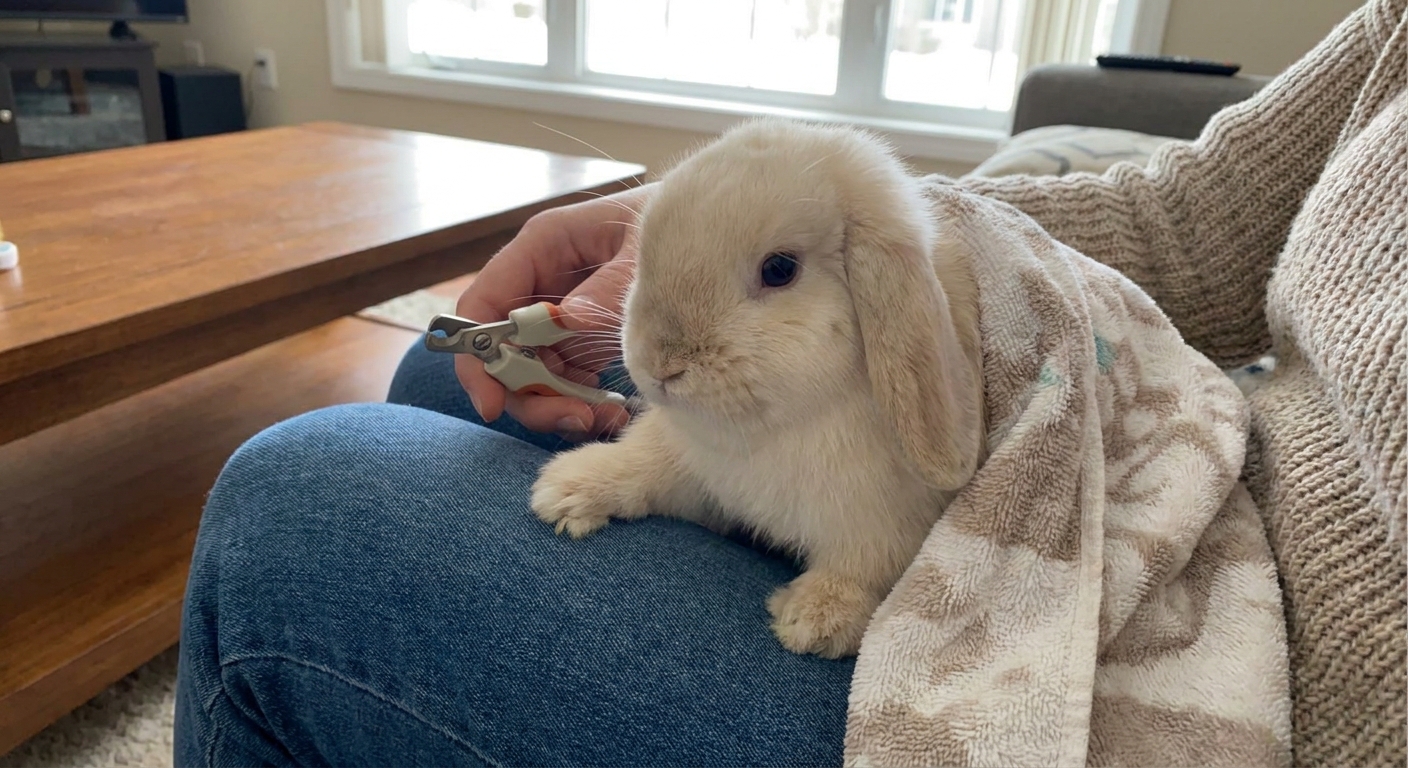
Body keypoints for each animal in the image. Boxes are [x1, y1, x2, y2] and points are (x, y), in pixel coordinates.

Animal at [530, 117, 986, 659]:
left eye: (779, 269)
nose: (661, 365)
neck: (767, 432)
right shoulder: (692, 471)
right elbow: (640, 470)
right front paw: (565, 490)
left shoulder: (883, 524)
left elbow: (864, 569)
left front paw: (815, 620)